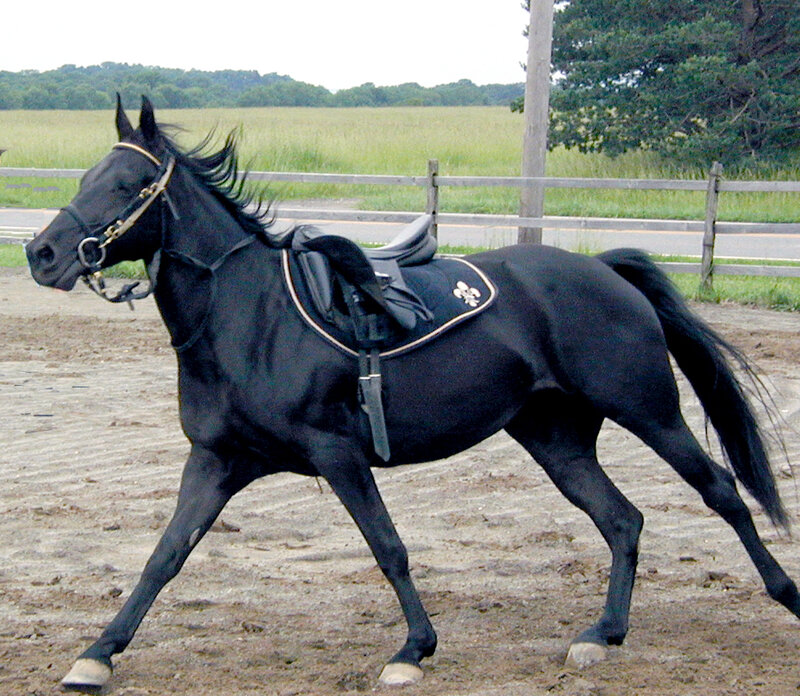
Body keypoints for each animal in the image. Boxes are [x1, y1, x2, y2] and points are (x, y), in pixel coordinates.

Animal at [26, 97, 800, 693]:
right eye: (90, 175)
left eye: (129, 183)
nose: (41, 253)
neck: (251, 316)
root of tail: (604, 268)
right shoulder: (216, 461)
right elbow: (166, 555)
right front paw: (97, 654)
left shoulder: (338, 455)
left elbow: (387, 546)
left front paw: (413, 651)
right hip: (557, 438)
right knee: (622, 520)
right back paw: (602, 634)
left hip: (650, 412)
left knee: (722, 492)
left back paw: (783, 594)